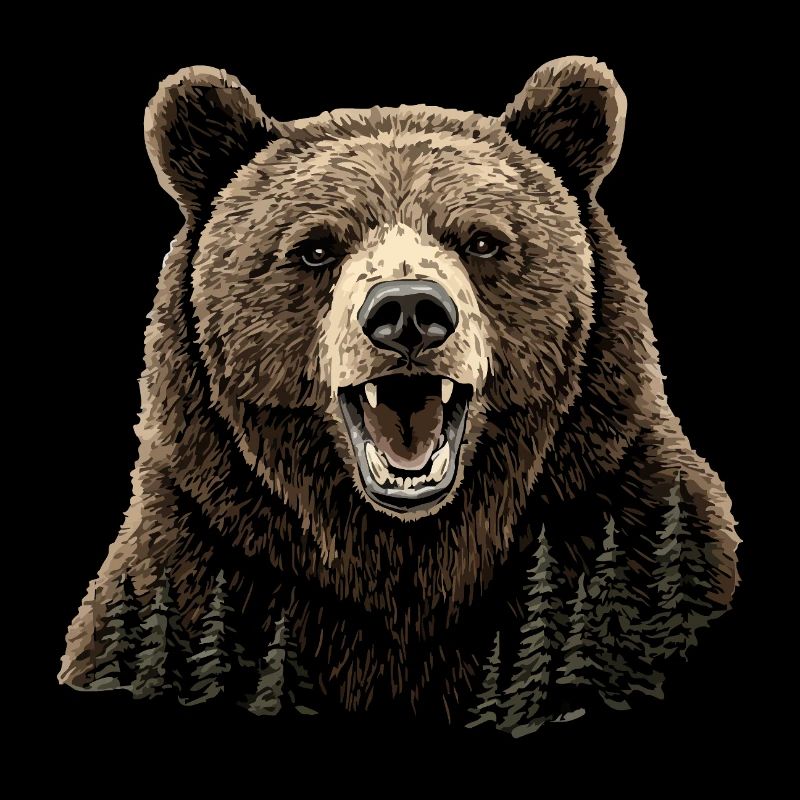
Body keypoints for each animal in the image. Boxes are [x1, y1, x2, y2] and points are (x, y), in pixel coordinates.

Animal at [59, 56, 739, 736]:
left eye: (483, 240)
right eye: (314, 247)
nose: (409, 311)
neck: (408, 560)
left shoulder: (618, 518)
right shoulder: (206, 554)